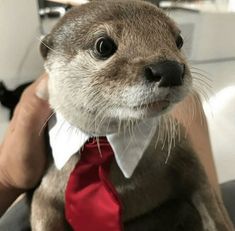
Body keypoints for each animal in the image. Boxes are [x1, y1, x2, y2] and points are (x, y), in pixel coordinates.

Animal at [30, 0, 234, 230]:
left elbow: (208, 198)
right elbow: (42, 209)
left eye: (179, 40)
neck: (124, 183)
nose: (169, 69)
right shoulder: (48, 186)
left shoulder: (185, 151)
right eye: (104, 46)